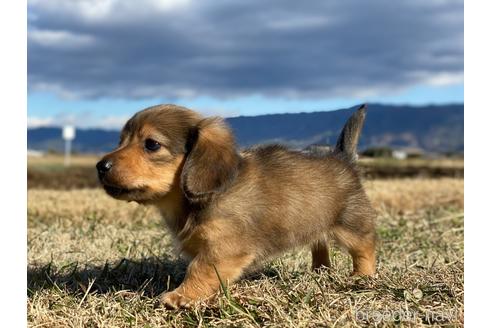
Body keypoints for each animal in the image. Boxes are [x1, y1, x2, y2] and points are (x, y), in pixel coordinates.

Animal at [98, 104, 378, 308]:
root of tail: (343, 158)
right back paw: (319, 272)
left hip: (351, 224)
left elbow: (198, 269)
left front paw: (182, 296)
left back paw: (362, 276)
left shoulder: (224, 249)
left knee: (365, 247)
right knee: (319, 245)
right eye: (121, 140)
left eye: (152, 144)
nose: (100, 166)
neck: (202, 198)